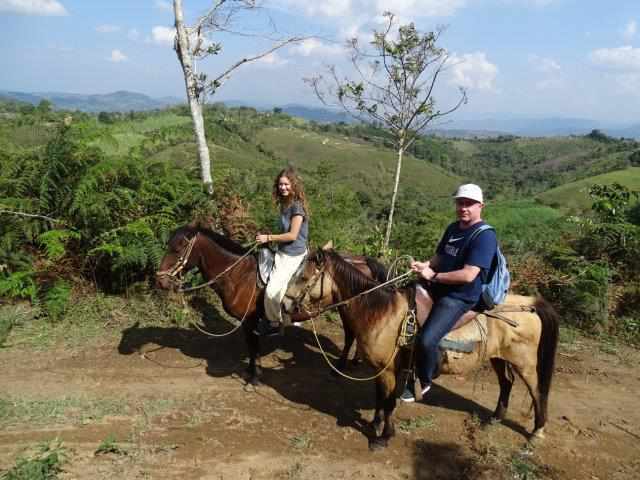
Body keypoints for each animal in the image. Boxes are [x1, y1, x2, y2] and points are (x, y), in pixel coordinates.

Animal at [156, 223, 384, 384]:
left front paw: (254, 376)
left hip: (346, 308)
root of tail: (362, 261)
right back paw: (353, 362)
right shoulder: (248, 322)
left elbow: (253, 346)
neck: (238, 274)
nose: (160, 281)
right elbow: (251, 346)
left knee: (349, 335)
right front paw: (250, 371)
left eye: (178, 248)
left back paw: (340, 367)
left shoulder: (250, 321)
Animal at [282, 248, 556, 450]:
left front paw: (383, 436)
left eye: (303, 277)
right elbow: (380, 398)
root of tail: (530, 303)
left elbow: (388, 402)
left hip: (525, 364)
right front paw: (375, 423)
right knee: (506, 382)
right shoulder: (381, 369)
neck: (381, 312)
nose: (285, 305)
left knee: (537, 392)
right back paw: (496, 417)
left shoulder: (388, 370)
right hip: (499, 357)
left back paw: (537, 431)